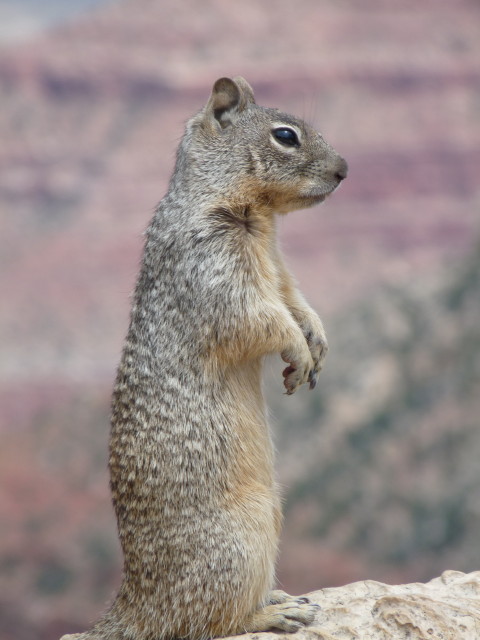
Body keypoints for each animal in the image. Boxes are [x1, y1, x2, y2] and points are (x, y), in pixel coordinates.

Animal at [62, 77, 347, 640]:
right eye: (286, 136)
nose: (345, 169)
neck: (260, 218)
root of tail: (134, 608)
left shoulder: (279, 269)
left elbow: (295, 300)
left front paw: (317, 339)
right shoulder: (215, 267)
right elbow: (261, 319)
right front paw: (298, 349)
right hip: (244, 536)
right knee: (209, 621)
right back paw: (277, 611)